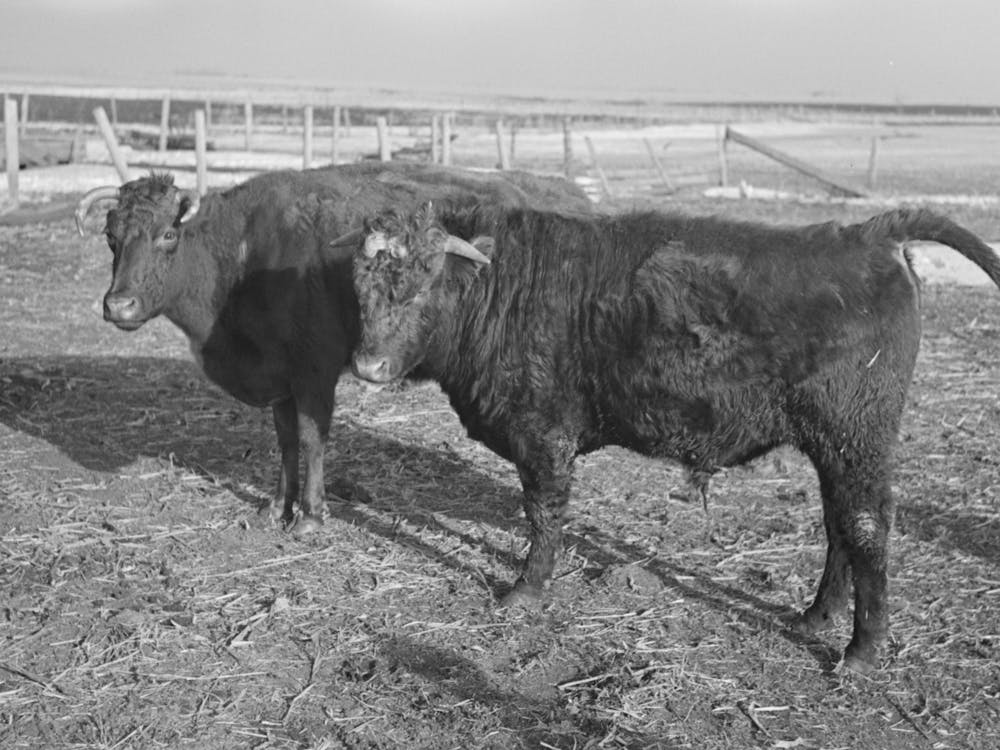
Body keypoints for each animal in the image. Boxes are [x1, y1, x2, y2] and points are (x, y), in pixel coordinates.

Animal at [74, 164, 591, 536]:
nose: (118, 305)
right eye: (111, 237)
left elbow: (311, 440)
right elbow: (285, 442)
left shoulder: (314, 374)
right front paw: (275, 507)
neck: (243, 257)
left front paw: (310, 516)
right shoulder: (280, 380)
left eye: (167, 234)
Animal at [342, 202, 1000, 673]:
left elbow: (543, 513)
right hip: (831, 447)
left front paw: (526, 590)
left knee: (866, 528)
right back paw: (815, 618)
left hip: (855, 438)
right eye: (361, 287)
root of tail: (867, 235)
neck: (503, 285)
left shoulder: (543, 436)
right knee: (841, 526)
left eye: (422, 285)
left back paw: (861, 651)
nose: (368, 366)